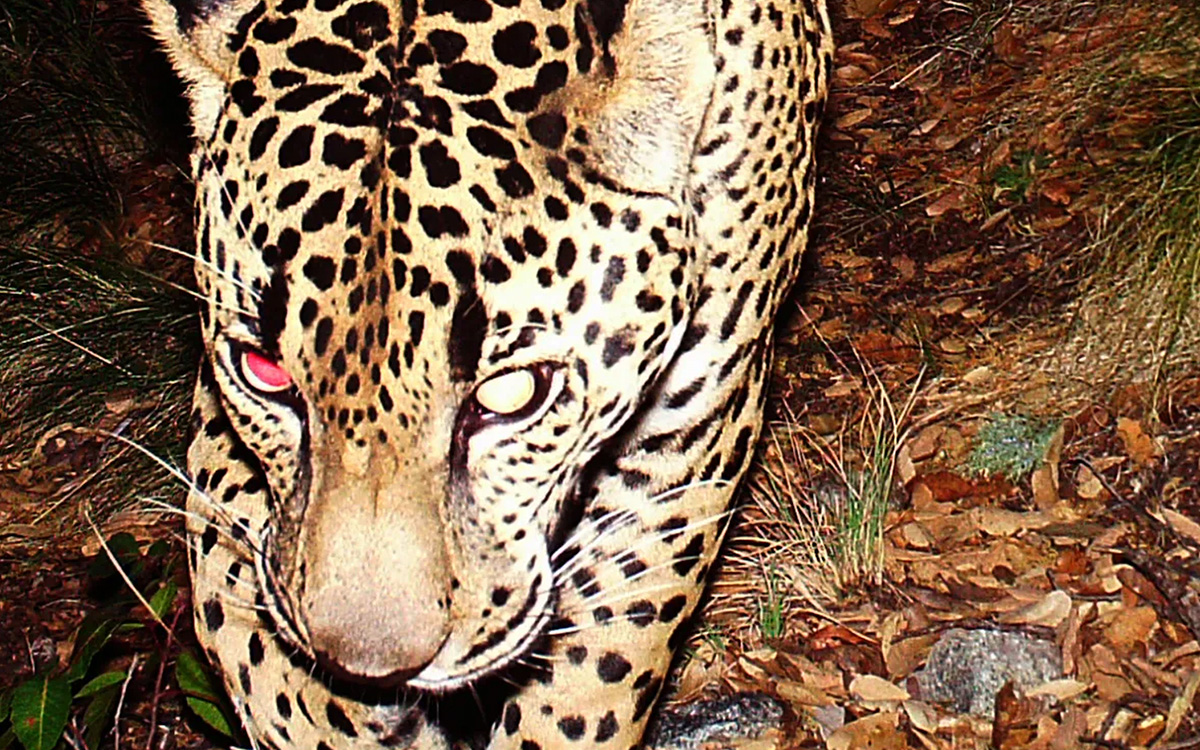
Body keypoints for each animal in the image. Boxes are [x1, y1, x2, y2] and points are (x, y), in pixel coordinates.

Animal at [141, 0, 831, 747]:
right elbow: (239, 622)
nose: (373, 666)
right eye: (265, 373)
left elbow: (597, 672)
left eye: (512, 394)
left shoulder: (688, 429)